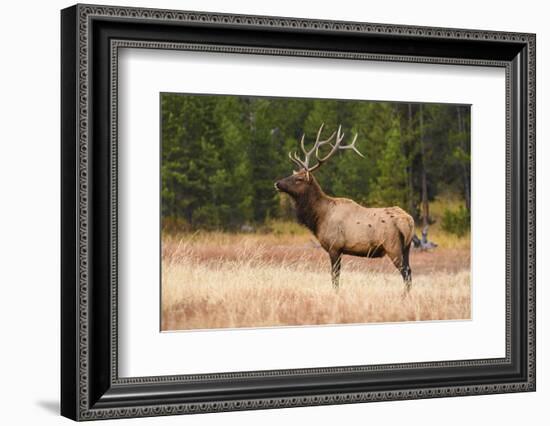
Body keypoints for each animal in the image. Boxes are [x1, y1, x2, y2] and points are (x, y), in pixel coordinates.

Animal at [274, 123, 416, 290]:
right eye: (293, 175)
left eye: (299, 179)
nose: (277, 183)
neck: (318, 218)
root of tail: (409, 221)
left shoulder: (334, 247)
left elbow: (335, 277)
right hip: (407, 247)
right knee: (409, 272)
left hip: (392, 247)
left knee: (406, 273)